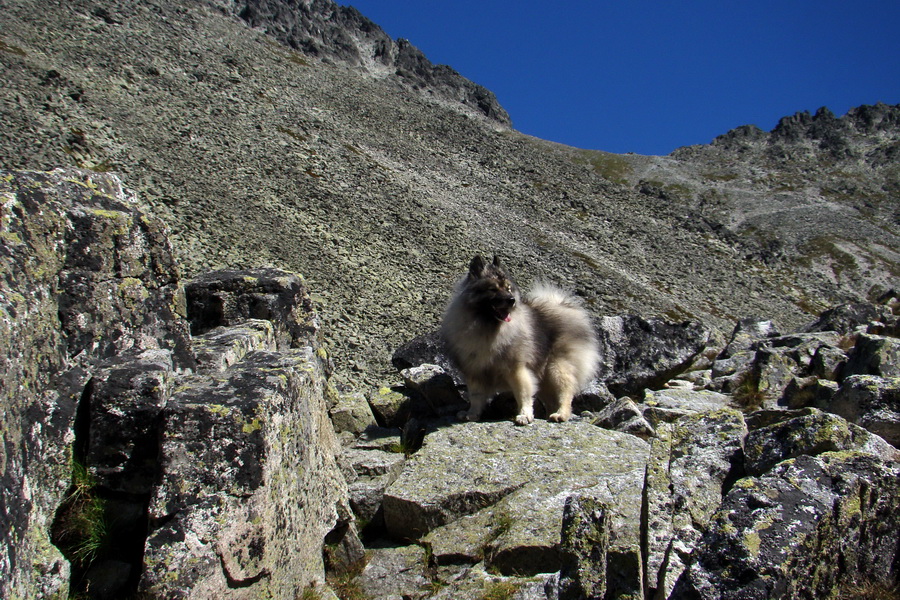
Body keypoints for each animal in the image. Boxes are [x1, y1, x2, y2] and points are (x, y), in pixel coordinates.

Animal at [442, 255, 596, 424]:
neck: (488, 327)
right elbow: (476, 396)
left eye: (508, 288)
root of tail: (563, 307)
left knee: (566, 392)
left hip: (556, 368)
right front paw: (472, 414)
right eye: (493, 289)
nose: (511, 300)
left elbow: (523, 394)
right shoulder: (475, 371)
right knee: (551, 400)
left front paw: (524, 415)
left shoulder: (516, 369)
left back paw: (561, 414)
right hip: (544, 377)